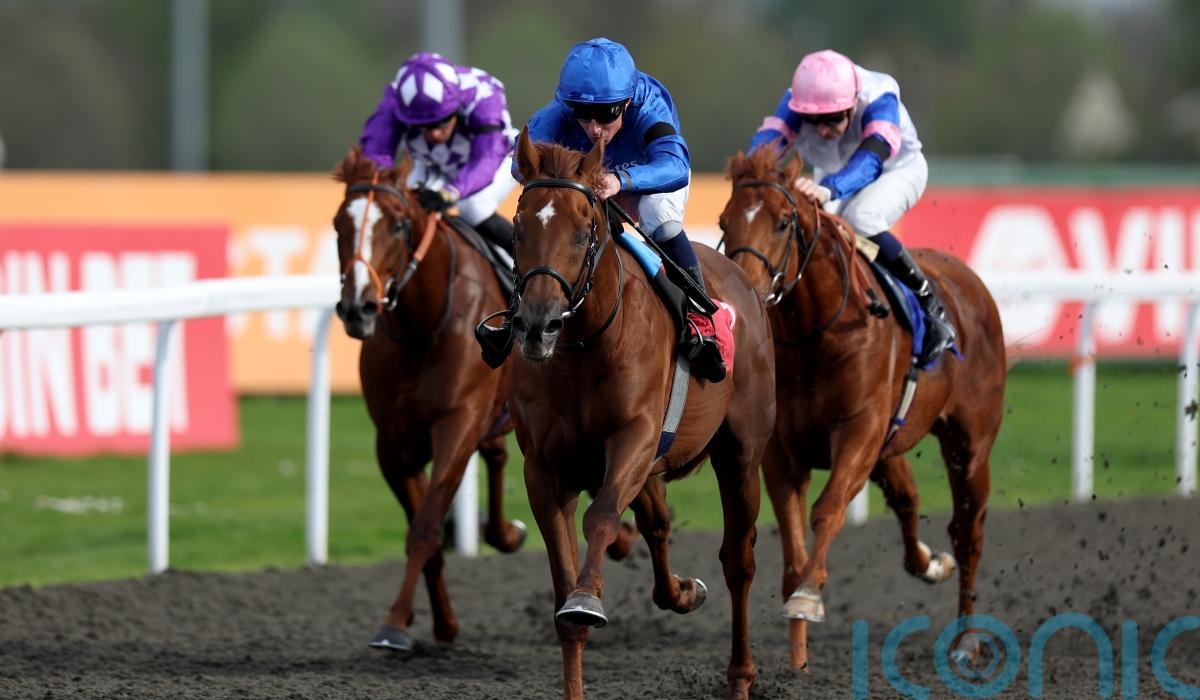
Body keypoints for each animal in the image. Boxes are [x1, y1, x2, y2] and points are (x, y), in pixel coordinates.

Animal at [331, 147, 527, 653]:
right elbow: (425, 528)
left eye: (399, 225)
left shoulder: (457, 423)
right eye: (339, 224)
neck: (424, 324)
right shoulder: (393, 442)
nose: (359, 307)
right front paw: (441, 624)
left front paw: (394, 624)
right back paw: (505, 533)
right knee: (498, 454)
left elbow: (424, 527)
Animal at [489, 127, 776, 700]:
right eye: (518, 227)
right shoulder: (546, 470)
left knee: (739, 559)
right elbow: (564, 597)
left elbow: (601, 517)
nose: (536, 326)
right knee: (658, 525)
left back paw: (740, 675)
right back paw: (681, 591)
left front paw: (587, 599)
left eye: (583, 232)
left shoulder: (634, 438)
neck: (581, 346)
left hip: (740, 453)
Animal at [718, 146, 1005, 670]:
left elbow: (828, 509)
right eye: (725, 221)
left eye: (784, 221)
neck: (816, 335)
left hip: (969, 446)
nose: (743, 289)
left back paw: (965, 640)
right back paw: (930, 564)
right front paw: (798, 657)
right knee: (908, 500)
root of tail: (968, 279)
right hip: (890, 446)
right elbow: (792, 548)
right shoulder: (783, 453)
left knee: (968, 532)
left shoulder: (858, 429)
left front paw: (809, 597)